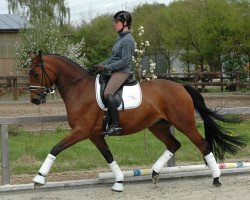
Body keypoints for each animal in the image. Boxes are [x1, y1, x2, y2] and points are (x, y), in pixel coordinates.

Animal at [28, 50, 245, 191]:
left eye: (36, 73)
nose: (34, 100)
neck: (79, 89)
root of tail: (180, 86)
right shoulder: (94, 135)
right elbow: (108, 156)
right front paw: (118, 181)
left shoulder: (81, 131)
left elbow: (56, 148)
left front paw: (39, 178)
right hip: (158, 126)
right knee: (174, 144)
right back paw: (155, 173)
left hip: (184, 123)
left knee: (203, 144)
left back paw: (216, 179)